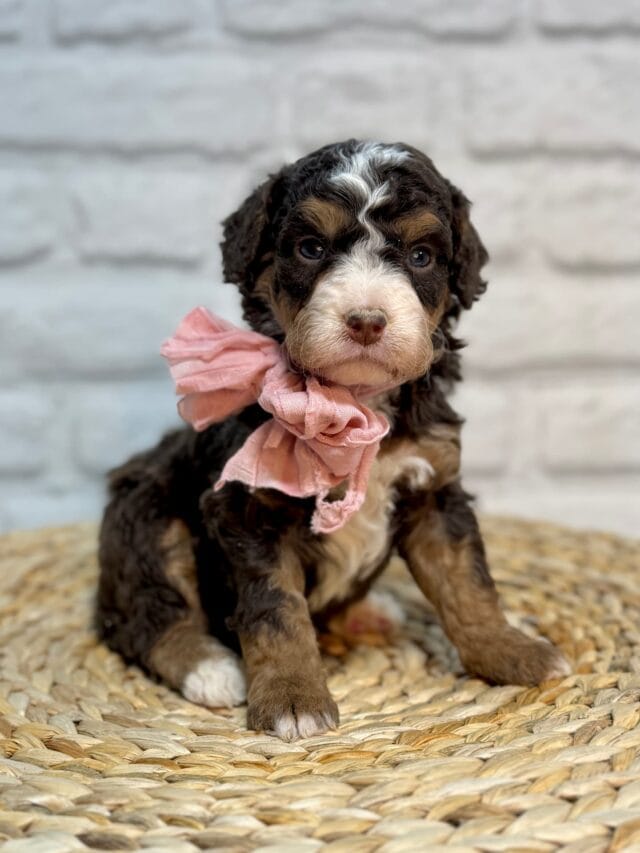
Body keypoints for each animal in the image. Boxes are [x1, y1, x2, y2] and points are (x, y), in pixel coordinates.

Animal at [96, 140, 568, 740]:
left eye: (421, 257)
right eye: (311, 248)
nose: (366, 320)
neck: (353, 403)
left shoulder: (435, 488)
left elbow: (468, 582)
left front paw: (513, 650)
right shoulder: (248, 509)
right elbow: (276, 610)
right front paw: (293, 699)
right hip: (149, 516)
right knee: (145, 616)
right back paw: (210, 669)